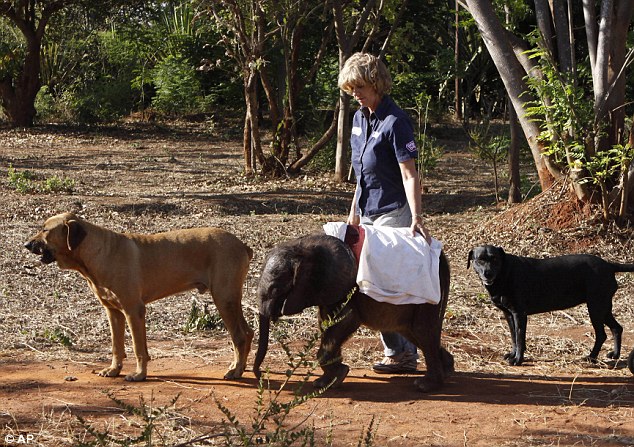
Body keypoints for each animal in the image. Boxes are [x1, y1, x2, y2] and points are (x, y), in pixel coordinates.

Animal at [25, 214, 252, 382]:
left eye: (45, 230)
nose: (27, 244)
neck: (98, 252)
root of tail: (243, 245)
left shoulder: (133, 310)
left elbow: (138, 347)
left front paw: (139, 374)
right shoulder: (113, 312)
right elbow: (117, 346)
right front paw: (113, 370)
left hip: (224, 298)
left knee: (239, 336)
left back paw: (236, 371)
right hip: (230, 300)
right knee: (247, 333)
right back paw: (239, 366)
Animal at [464, 245, 632, 368]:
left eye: (495, 259)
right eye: (479, 260)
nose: (488, 273)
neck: (504, 274)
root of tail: (608, 265)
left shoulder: (519, 314)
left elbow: (519, 337)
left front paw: (518, 359)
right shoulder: (508, 314)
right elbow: (513, 337)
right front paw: (512, 354)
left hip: (596, 307)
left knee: (602, 334)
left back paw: (591, 357)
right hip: (603, 307)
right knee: (617, 328)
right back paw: (615, 355)